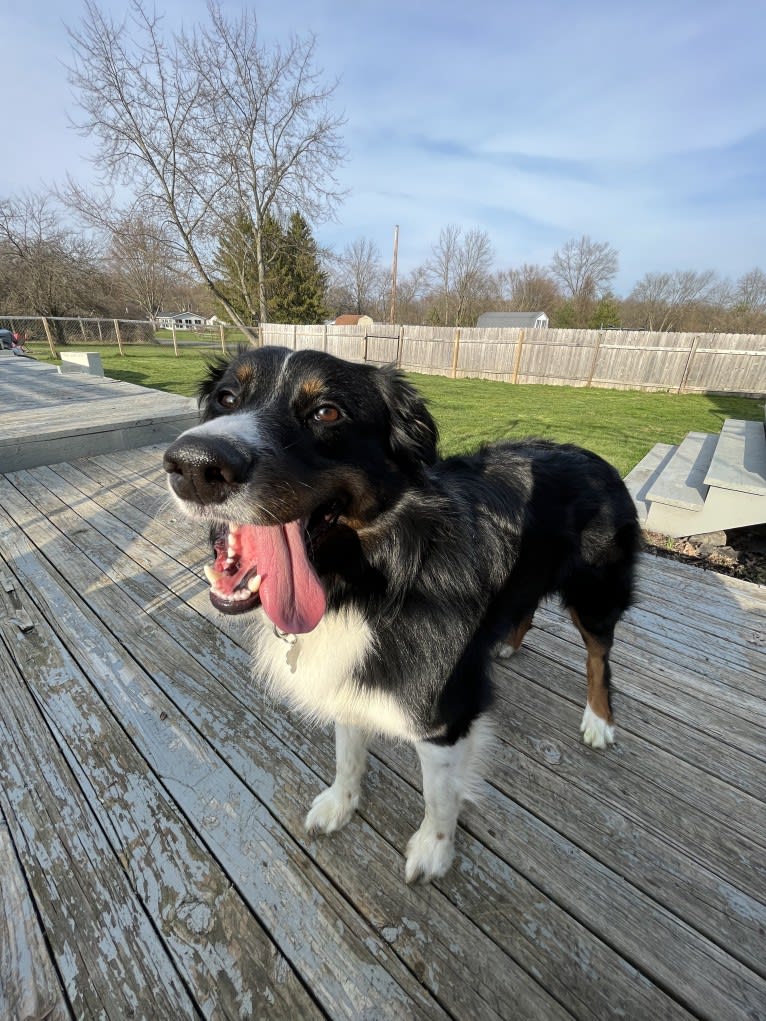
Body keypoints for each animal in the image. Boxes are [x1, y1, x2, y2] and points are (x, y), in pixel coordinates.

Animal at [163, 347, 641, 882]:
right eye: (226, 398)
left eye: (327, 412)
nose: (194, 465)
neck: (374, 578)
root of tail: (593, 455)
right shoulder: (348, 677)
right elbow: (348, 752)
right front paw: (341, 804)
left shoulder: (444, 714)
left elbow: (440, 795)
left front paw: (433, 851)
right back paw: (505, 642)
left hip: (596, 591)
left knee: (600, 655)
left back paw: (599, 721)